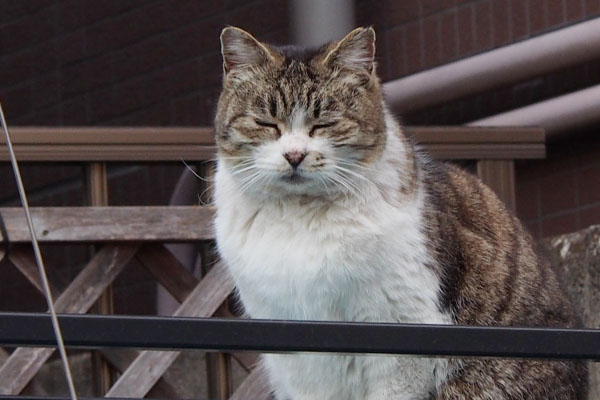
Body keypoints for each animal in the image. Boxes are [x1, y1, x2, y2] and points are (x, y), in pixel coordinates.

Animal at [213, 25, 588, 400]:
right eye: (266, 123)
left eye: (325, 124)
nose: (294, 155)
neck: (300, 218)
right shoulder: (292, 354)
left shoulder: (400, 335)